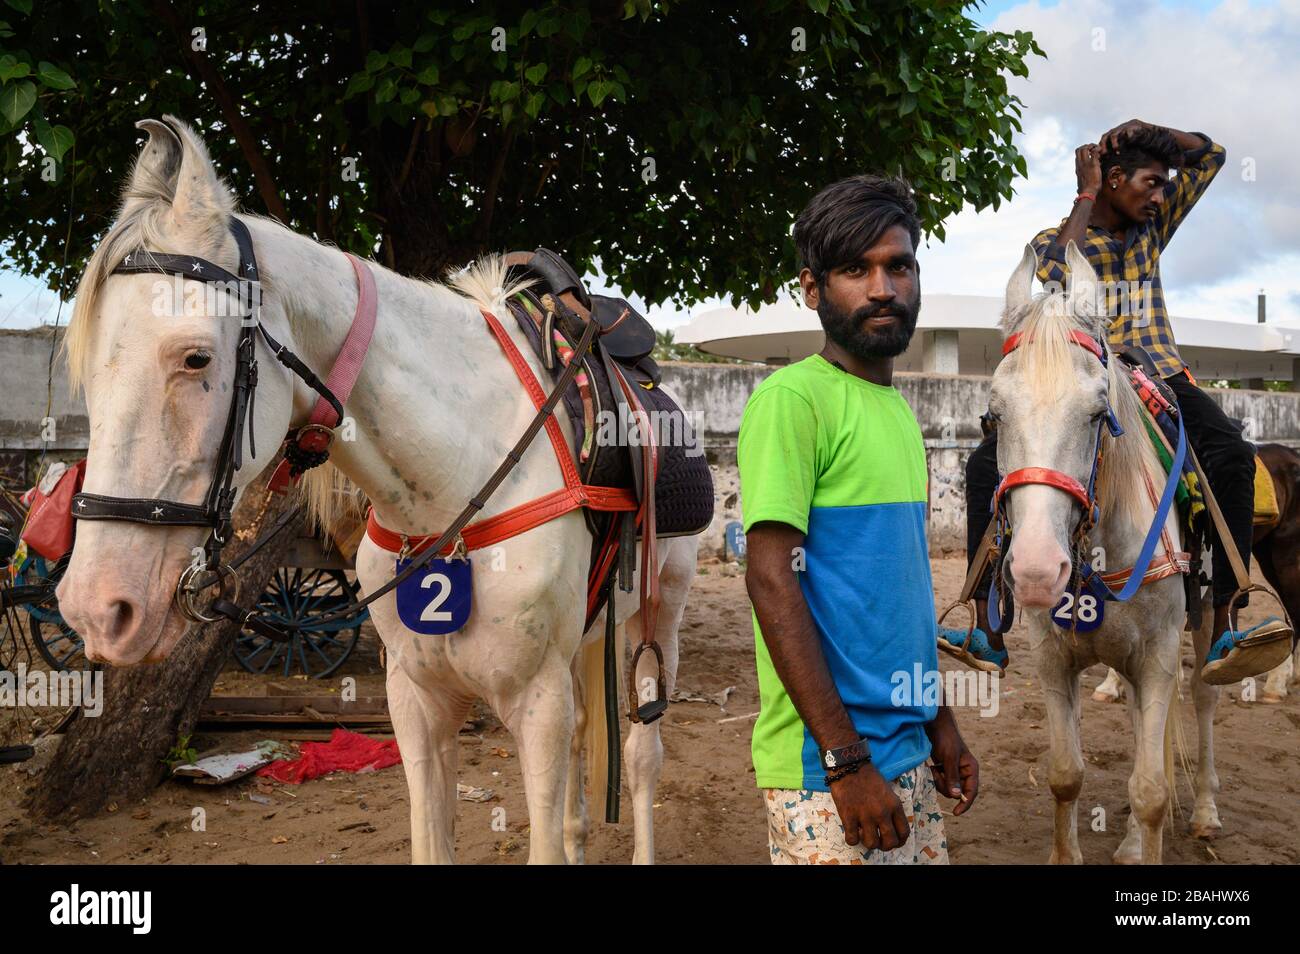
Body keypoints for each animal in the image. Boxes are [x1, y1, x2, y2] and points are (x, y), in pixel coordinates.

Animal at [53, 116, 701, 864]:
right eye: (86, 370)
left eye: (196, 357)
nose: (96, 608)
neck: (454, 487)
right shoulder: (416, 704)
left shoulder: (536, 703)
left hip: (657, 616)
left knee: (642, 754)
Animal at [992, 241, 1220, 864]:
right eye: (994, 415)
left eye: (1098, 413)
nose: (1037, 571)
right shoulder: (1053, 658)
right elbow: (1066, 774)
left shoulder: (1159, 655)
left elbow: (1151, 790)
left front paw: (1152, 834)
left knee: (1203, 694)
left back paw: (1205, 813)